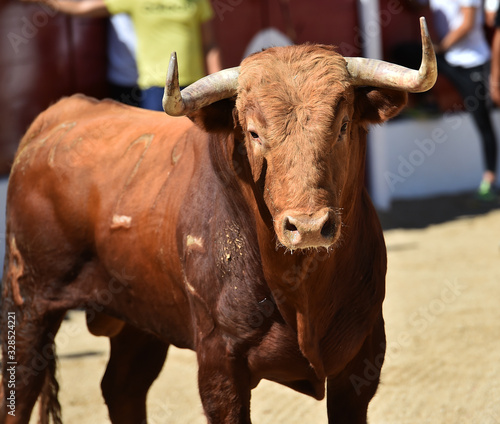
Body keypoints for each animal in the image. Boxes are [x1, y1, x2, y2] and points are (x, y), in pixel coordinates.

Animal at [0, 17, 436, 424]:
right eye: (254, 132)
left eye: (343, 126)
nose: (309, 227)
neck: (300, 289)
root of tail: (54, 119)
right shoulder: (219, 365)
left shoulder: (361, 364)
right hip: (29, 305)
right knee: (20, 392)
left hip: (140, 319)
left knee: (123, 388)